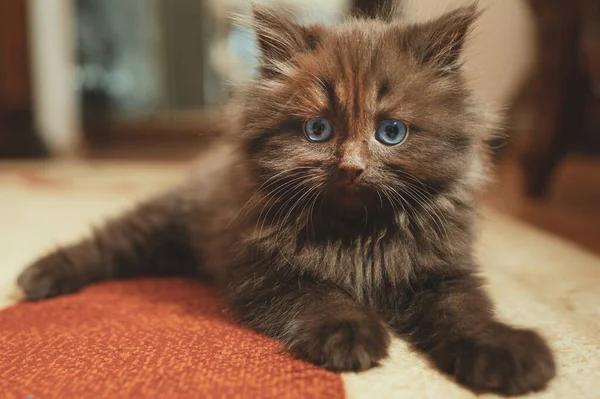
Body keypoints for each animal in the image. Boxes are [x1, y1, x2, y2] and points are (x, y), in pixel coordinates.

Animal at [17, 5, 556, 396]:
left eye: (391, 132)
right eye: (318, 130)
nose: (351, 167)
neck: (359, 234)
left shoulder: (442, 271)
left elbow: (466, 312)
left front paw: (506, 351)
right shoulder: (264, 272)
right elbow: (323, 296)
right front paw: (351, 334)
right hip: (164, 222)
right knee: (106, 243)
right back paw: (40, 276)